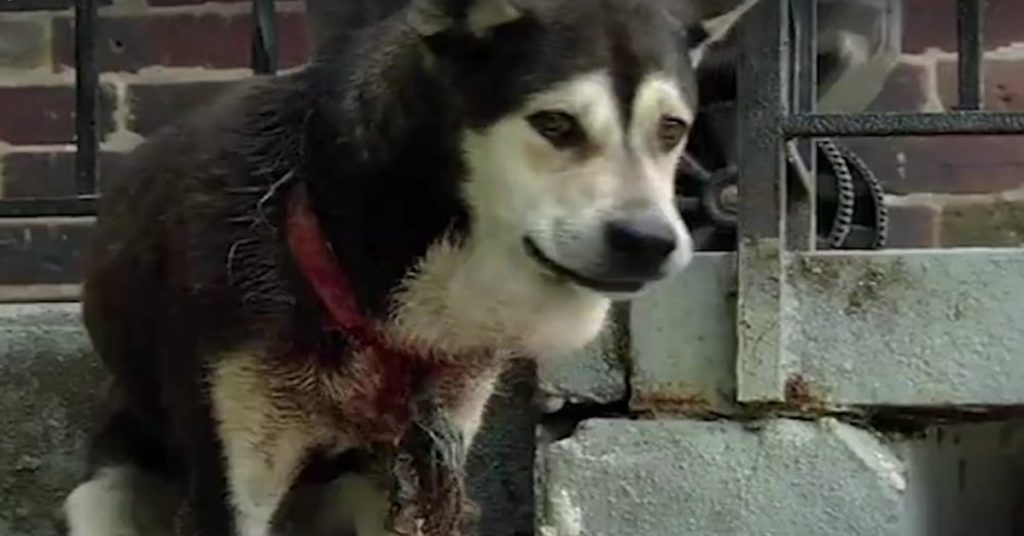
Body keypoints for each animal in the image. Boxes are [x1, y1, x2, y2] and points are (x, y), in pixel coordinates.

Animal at [61, 2, 753, 532]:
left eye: (672, 130)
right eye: (555, 123)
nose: (649, 240)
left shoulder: (431, 453)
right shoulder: (232, 477)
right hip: (99, 498)